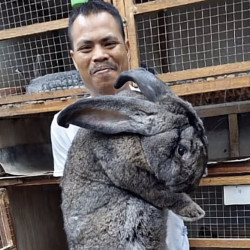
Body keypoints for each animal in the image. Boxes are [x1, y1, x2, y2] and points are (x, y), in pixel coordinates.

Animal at [57, 68, 208, 250]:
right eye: (181, 150)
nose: (191, 187)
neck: (140, 139)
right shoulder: (131, 173)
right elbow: (163, 194)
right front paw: (195, 211)